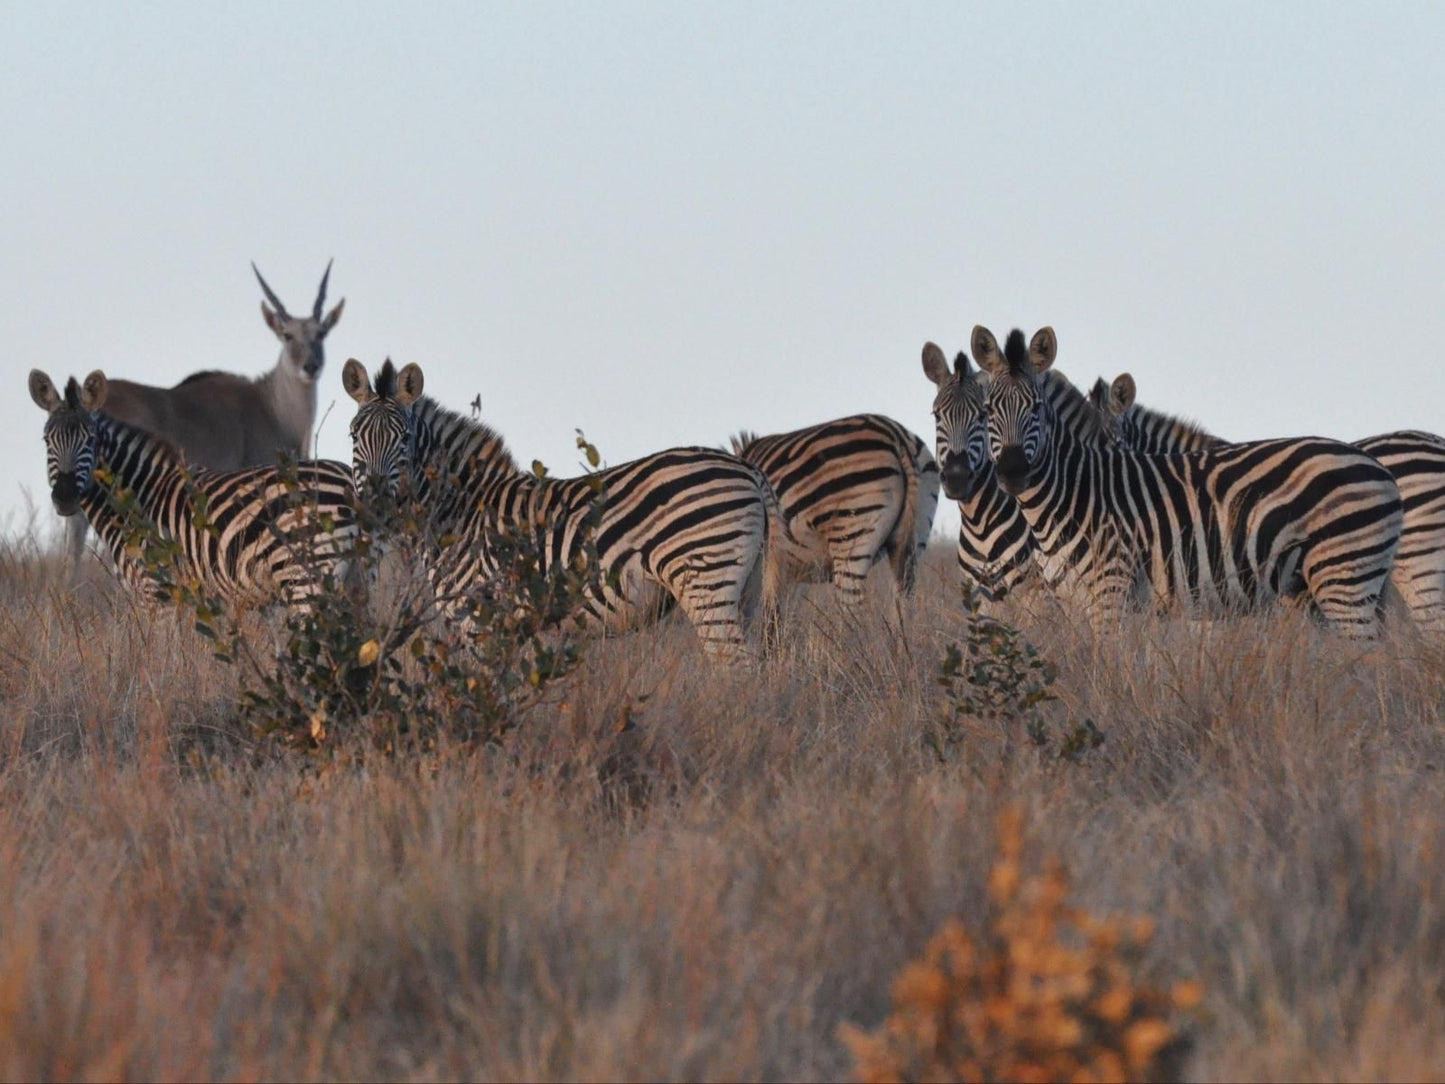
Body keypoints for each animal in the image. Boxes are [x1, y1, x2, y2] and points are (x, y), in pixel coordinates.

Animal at [28, 372, 355, 612]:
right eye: (46, 440)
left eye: (91, 439)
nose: (65, 497)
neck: (136, 497)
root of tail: (348, 479)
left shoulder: (156, 591)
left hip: (304, 578)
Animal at [342, 358, 786, 661]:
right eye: (353, 436)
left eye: (404, 439)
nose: (375, 505)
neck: (461, 509)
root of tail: (747, 468)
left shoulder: (481, 619)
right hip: (745, 587)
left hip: (706, 580)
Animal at [728, 416, 942, 604]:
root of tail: (898, 437)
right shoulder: (790, 575)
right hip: (914, 540)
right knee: (904, 601)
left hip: (851, 539)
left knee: (851, 606)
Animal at [971, 329, 1398, 635]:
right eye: (988, 409)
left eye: (1037, 409)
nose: (1012, 471)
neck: (1072, 493)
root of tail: (1378, 467)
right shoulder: (1076, 601)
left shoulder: (1113, 591)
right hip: (1322, 586)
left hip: (1344, 579)